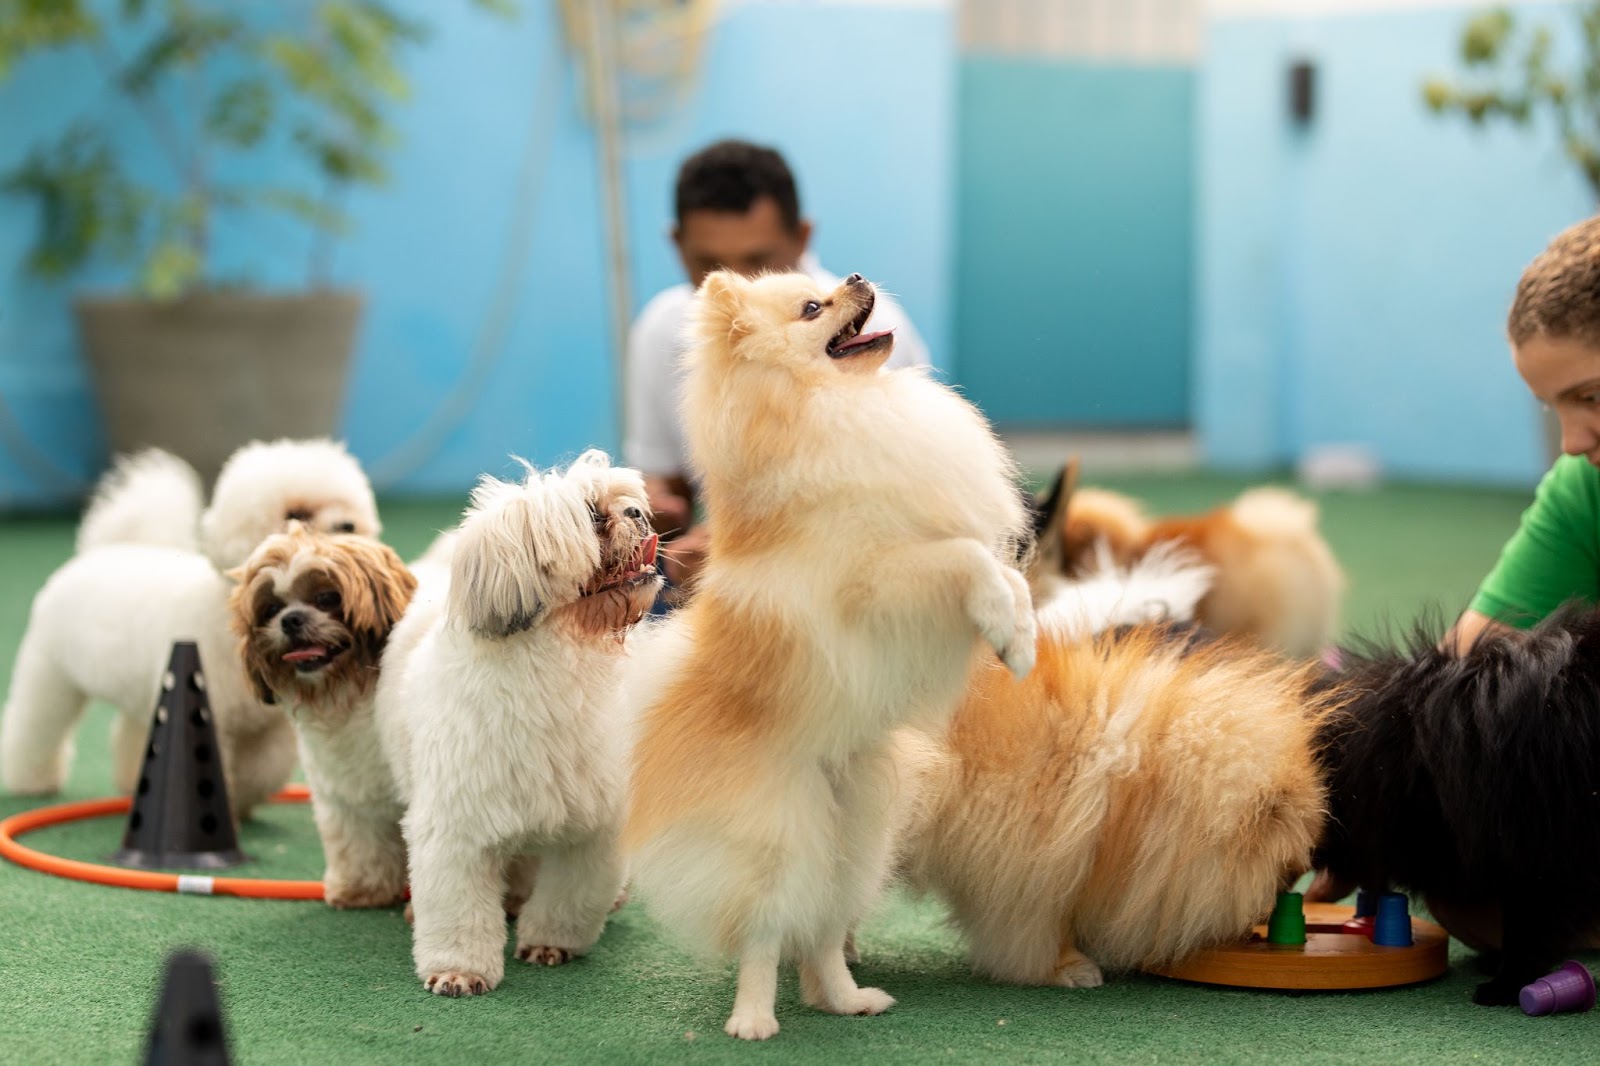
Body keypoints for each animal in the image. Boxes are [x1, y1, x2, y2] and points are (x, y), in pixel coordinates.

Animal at [0, 435, 380, 809]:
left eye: (348, 510)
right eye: (296, 515)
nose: (348, 526)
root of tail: (98, 552)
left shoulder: (268, 727)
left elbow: (266, 769)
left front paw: (244, 798)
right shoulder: (211, 714)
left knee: (131, 731)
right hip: (51, 675)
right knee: (33, 728)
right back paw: (30, 781)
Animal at [377, 451, 659, 998]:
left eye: (627, 501)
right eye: (592, 515)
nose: (637, 513)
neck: (560, 655)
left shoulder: (592, 826)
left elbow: (570, 898)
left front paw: (551, 944)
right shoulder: (457, 825)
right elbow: (458, 909)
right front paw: (459, 971)